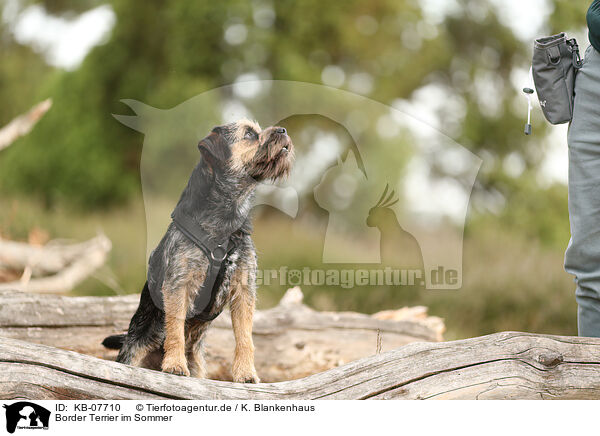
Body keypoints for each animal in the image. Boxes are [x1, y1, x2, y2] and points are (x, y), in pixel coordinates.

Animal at [103, 119, 296, 382]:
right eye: (249, 134)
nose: (283, 130)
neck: (227, 225)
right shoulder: (179, 284)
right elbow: (175, 327)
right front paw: (175, 364)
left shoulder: (244, 289)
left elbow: (245, 336)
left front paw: (246, 373)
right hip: (133, 353)